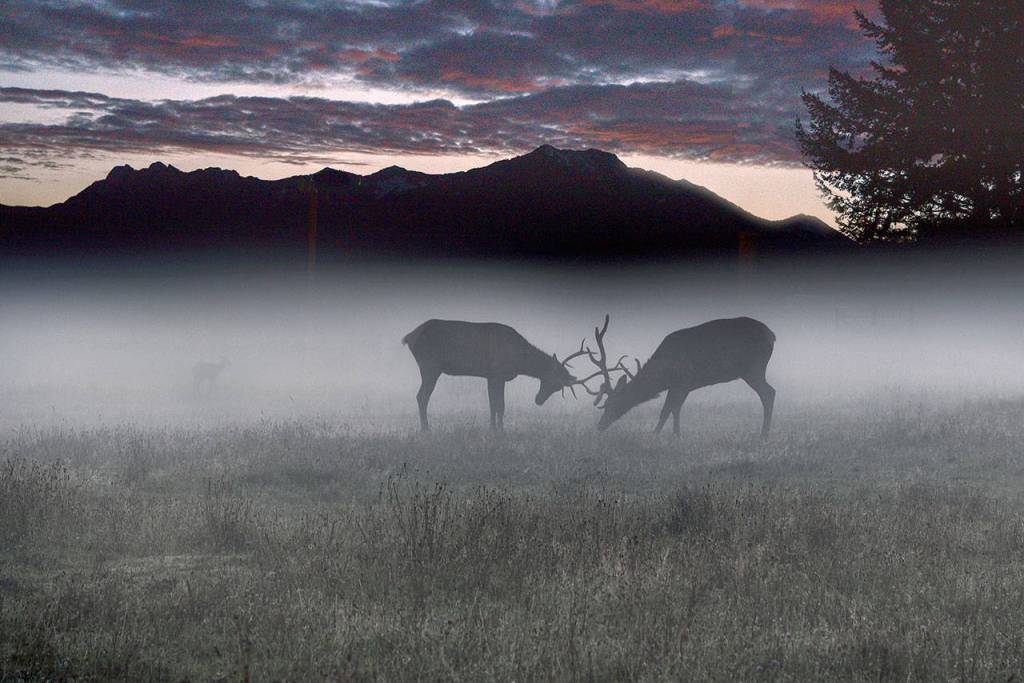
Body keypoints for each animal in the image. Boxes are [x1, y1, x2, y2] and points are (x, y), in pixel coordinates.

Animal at [402, 319, 583, 431]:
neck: (519, 359)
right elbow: (500, 405)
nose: (538, 400)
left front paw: (492, 428)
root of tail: (409, 337)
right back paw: (426, 429)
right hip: (430, 366)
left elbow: (492, 404)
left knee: (421, 396)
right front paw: (501, 430)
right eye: (553, 382)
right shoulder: (498, 373)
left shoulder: (491, 376)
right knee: (421, 396)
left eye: (558, 388)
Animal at [577, 315, 776, 438]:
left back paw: (763, 435)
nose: (600, 426)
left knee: (769, 393)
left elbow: (666, 410)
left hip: (753, 369)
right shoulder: (682, 386)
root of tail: (772, 335)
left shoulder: (683, 381)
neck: (662, 376)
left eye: (611, 404)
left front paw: (655, 435)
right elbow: (675, 409)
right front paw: (676, 435)